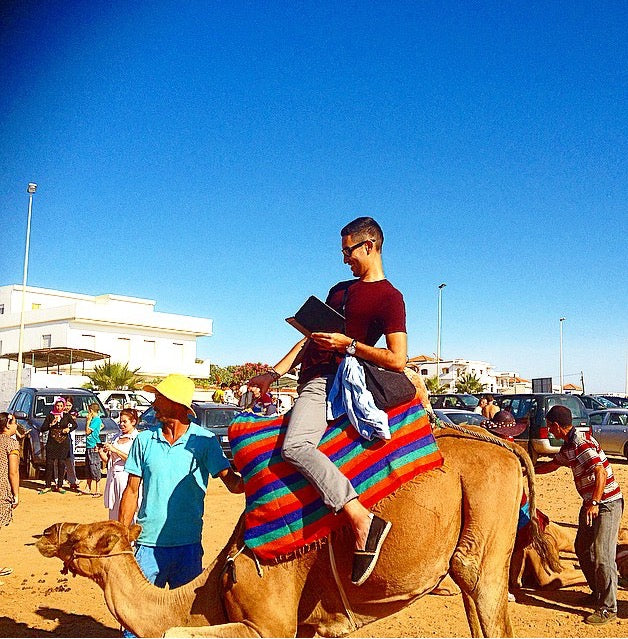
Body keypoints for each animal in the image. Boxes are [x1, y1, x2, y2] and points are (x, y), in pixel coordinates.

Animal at [35, 430, 556, 639]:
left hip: (482, 532)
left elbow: (175, 633)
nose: (46, 531)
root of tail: (508, 448)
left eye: (81, 540)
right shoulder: (306, 627)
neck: (208, 593)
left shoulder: (271, 625)